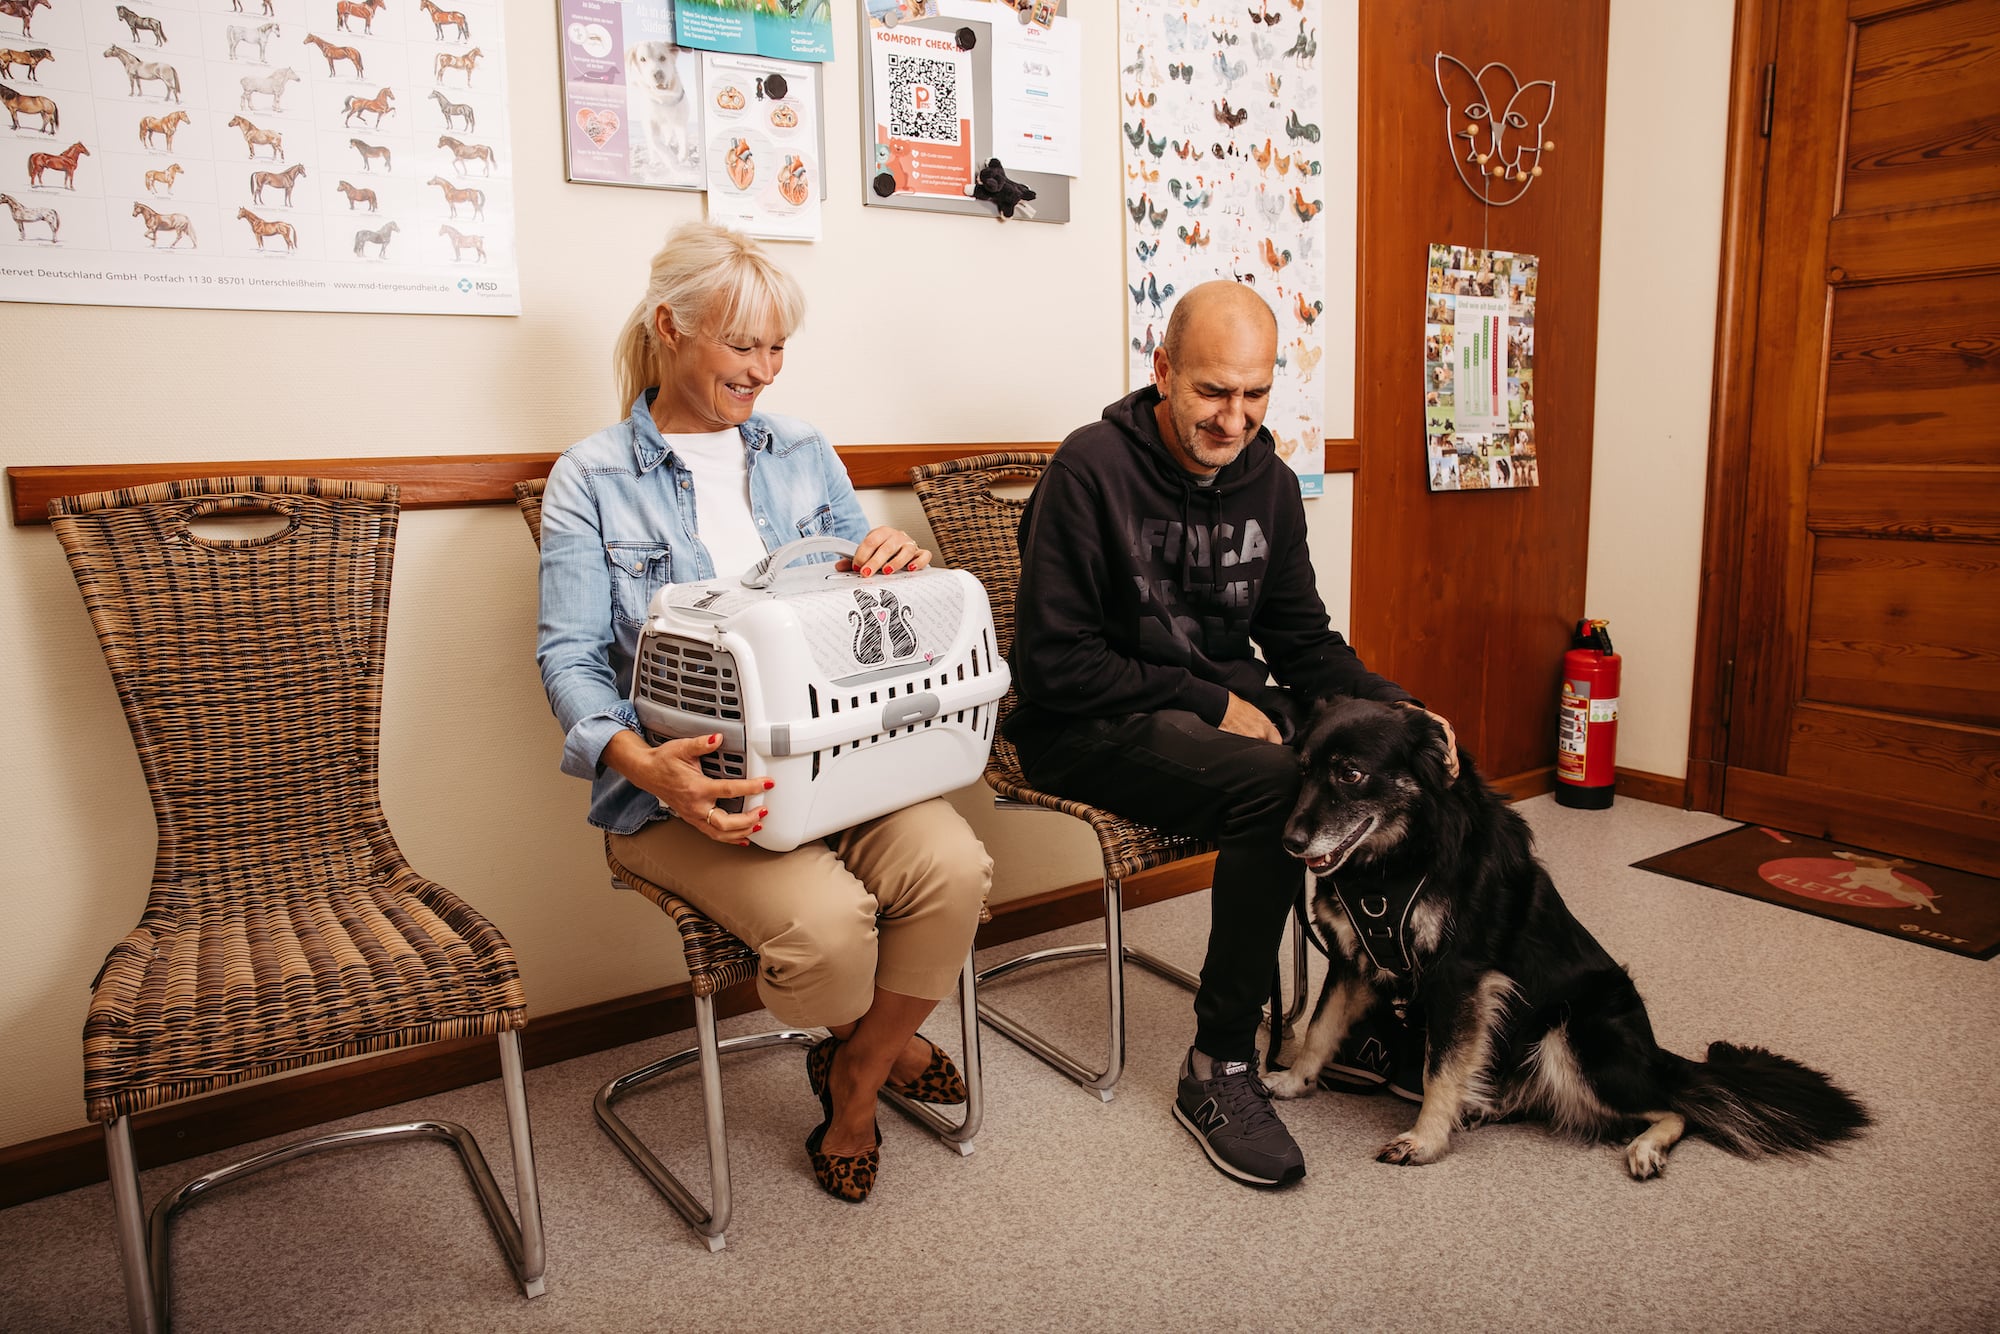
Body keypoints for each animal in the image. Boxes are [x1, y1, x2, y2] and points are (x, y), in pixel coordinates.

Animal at [1272, 700, 1864, 1176]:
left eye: (1351, 773)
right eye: (1301, 771)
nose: (1290, 842)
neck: (1394, 863)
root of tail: (1656, 1055)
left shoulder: (1460, 978)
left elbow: (1439, 1067)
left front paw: (1425, 1140)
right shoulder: (1351, 960)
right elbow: (1321, 1029)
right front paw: (1295, 1081)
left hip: (1572, 1036)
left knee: (1677, 1108)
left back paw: (1646, 1147)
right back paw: (1481, 1107)